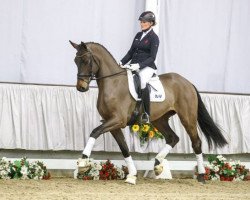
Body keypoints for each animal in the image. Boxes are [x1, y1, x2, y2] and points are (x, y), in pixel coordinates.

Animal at [69, 40, 228, 184]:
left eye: (85, 60)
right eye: (75, 61)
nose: (81, 87)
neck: (113, 83)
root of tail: (188, 83)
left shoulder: (117, 120)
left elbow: (94, 132)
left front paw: (82, 162)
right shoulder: (112, 124)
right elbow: (124, 148)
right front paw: (132, 175)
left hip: (187, 118)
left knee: (196, 142)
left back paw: (201, 176)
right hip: (160, 119)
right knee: (173, 138)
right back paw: (157, 164)